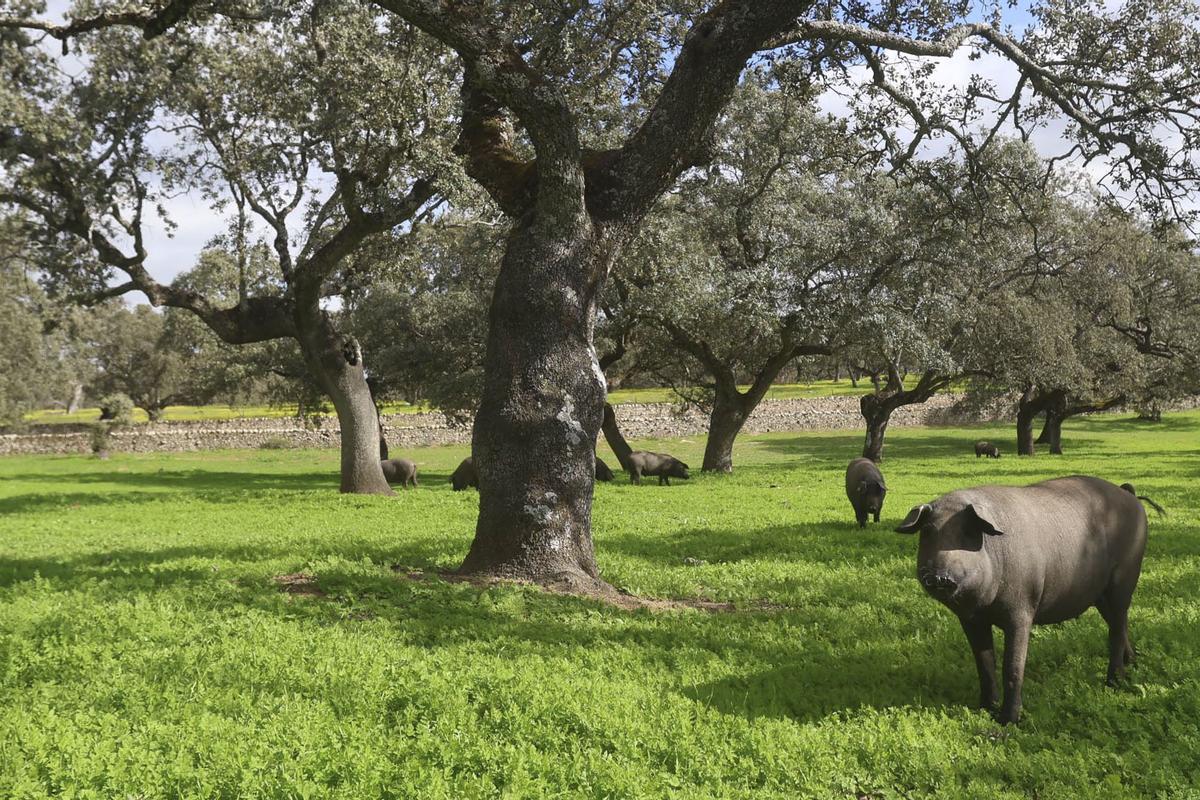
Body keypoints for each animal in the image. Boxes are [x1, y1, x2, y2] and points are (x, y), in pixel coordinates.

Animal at [902, 474, 1161, 724]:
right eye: (927, 532)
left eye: (968, 533)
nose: (940, 576)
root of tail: (1130, 495)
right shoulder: (971, 620)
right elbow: (984, 663)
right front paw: (986, 708)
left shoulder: (1022, 609)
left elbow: (1013, 667)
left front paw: (1007, 721)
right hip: (1100, 594)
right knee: (1121, 623)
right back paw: (1132, 663)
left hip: (1125, 576)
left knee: (1116, 628)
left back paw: (1114, 682)